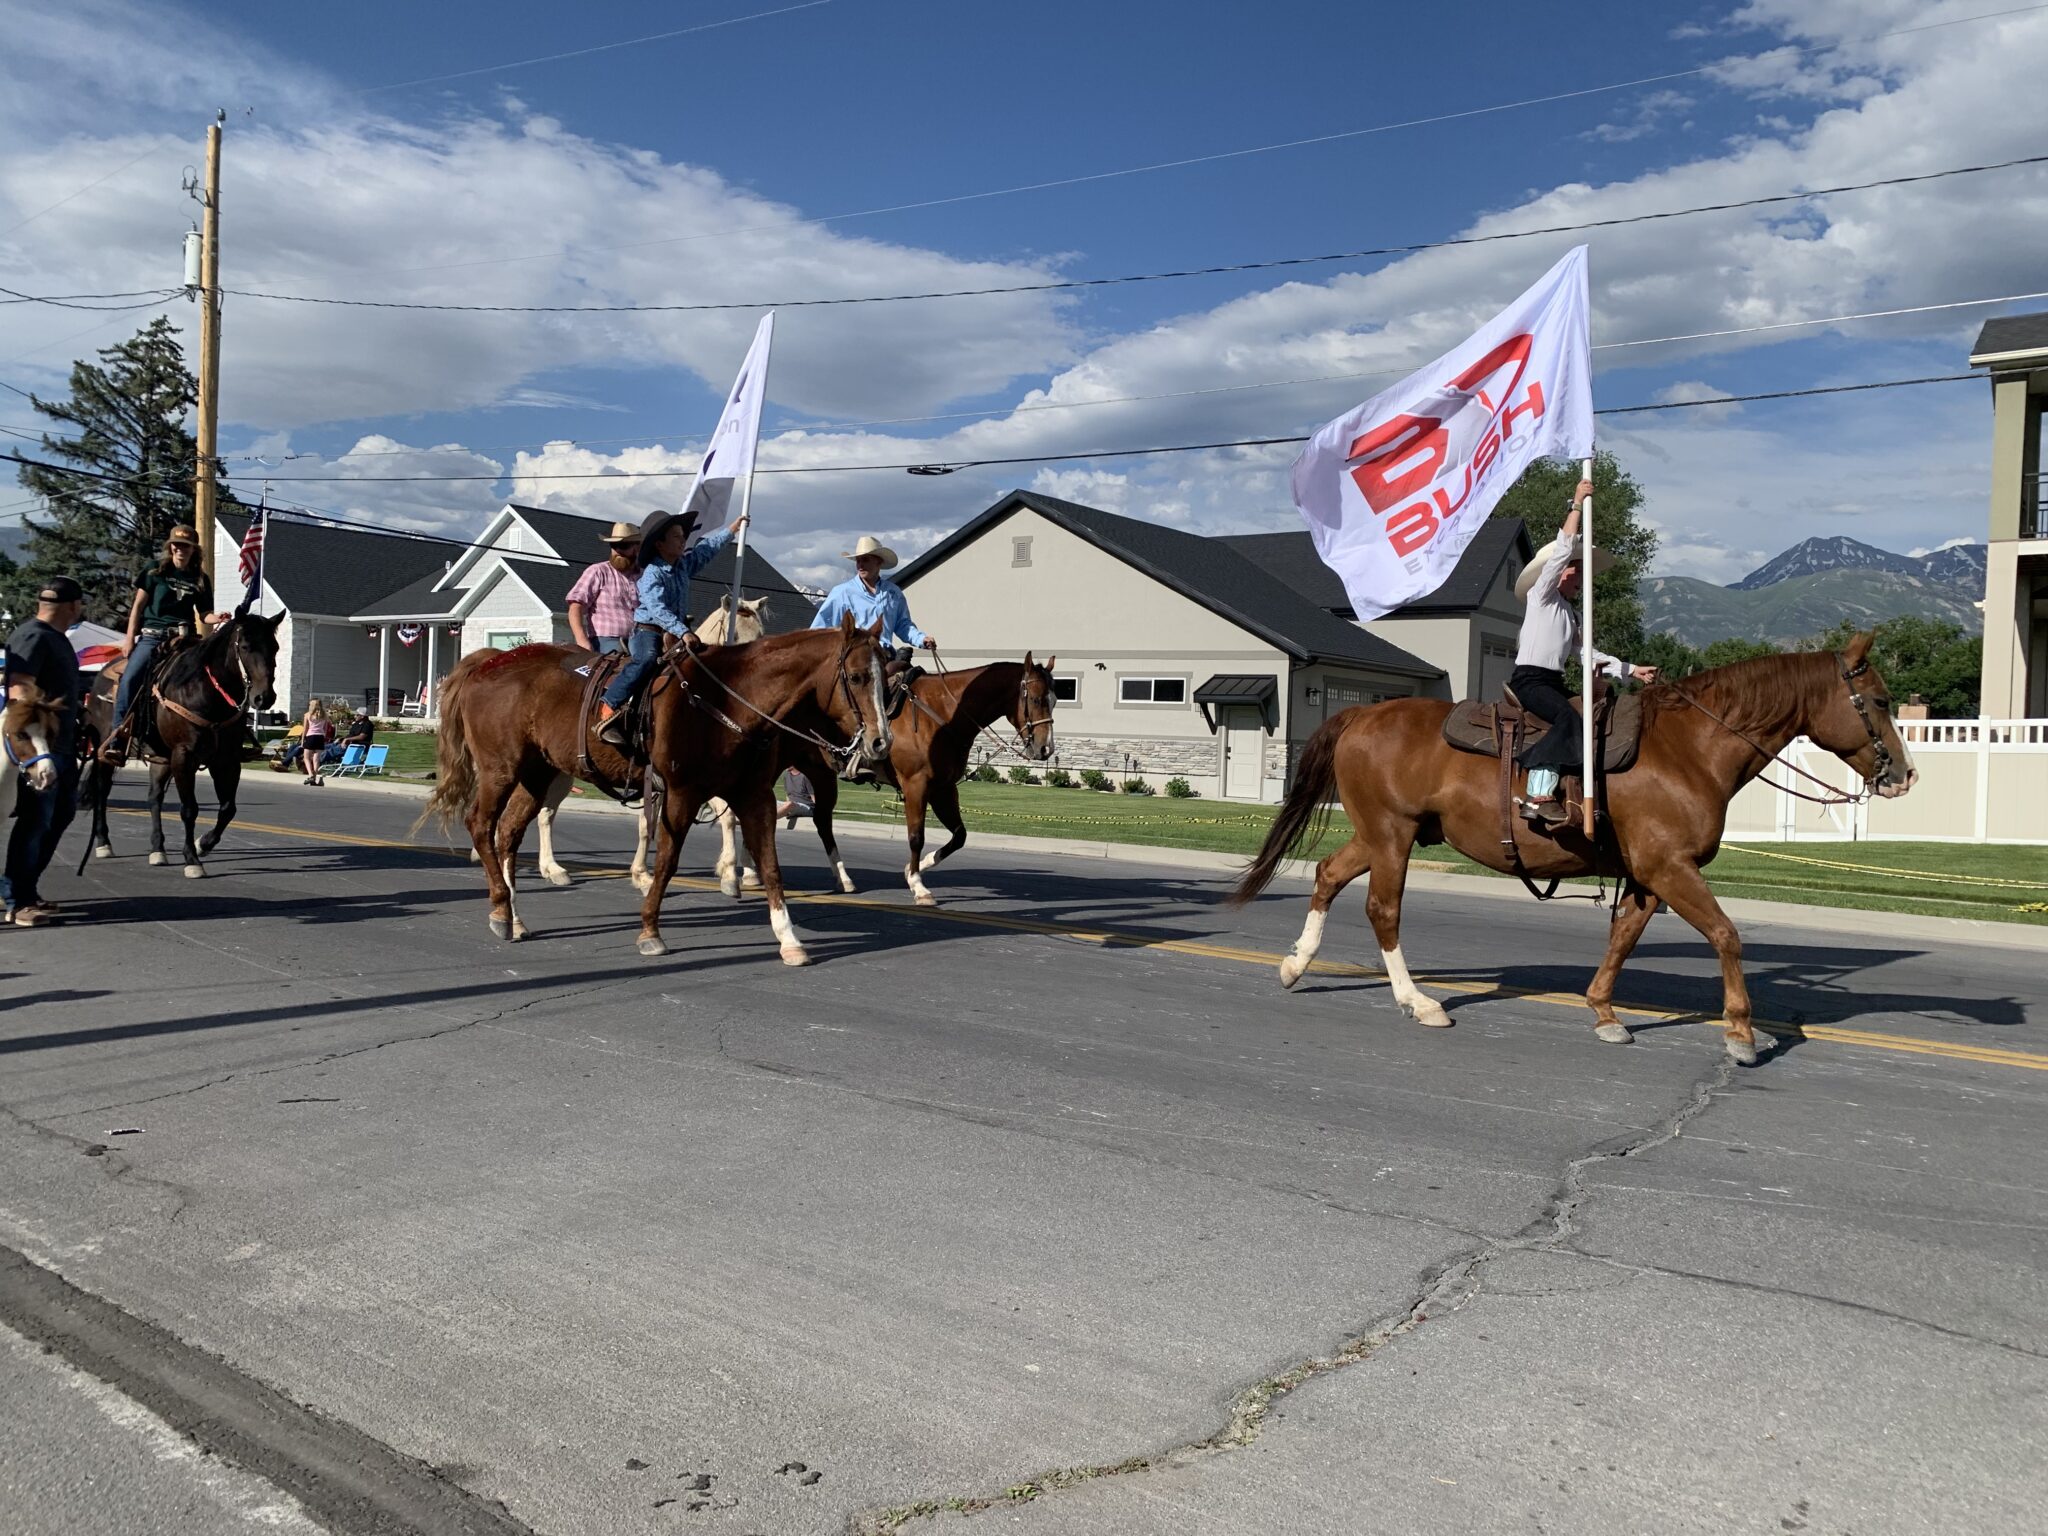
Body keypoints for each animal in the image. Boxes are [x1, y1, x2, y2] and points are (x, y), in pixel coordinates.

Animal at [415, 614, 888, 962]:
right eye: (857, 677)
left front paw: (788, 939)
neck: (728, 701)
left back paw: (512, 916)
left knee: (509, 833)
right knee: (482, 826)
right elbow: (667, 862)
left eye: (887, 677)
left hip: (537, 774)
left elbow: (771, 866)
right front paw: (650, 930)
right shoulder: (680, 793)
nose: (879, 743)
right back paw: (501, 906)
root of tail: (488, 661)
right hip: (501, 769)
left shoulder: (755, 798)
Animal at [696, 651, 1064, 913]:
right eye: (1034, 699)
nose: (1045, 749)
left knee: (818, 821)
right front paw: (918, 885)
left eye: (1056, 699)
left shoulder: (944, 789)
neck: (942, 715)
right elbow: (916, 836)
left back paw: (827, 877)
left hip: (819, 774)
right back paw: (740, 873)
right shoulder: (917, 786)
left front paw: (918, 867)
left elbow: (959, 836)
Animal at [1228, 638, 1916, 1073]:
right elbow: (1726, 935)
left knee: (1327, 875)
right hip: (1391, 836)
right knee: (1383, 910)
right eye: (1881, 701)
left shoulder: (1648, 875)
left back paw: (1295, 966)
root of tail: (1359, 716)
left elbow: (1624, 937)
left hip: (1379, 835)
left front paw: (1604, 1010)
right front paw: (1742, 1034)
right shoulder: (1671, 868)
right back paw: (1418, 1003)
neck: (1690, 747)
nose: (1903, 776)